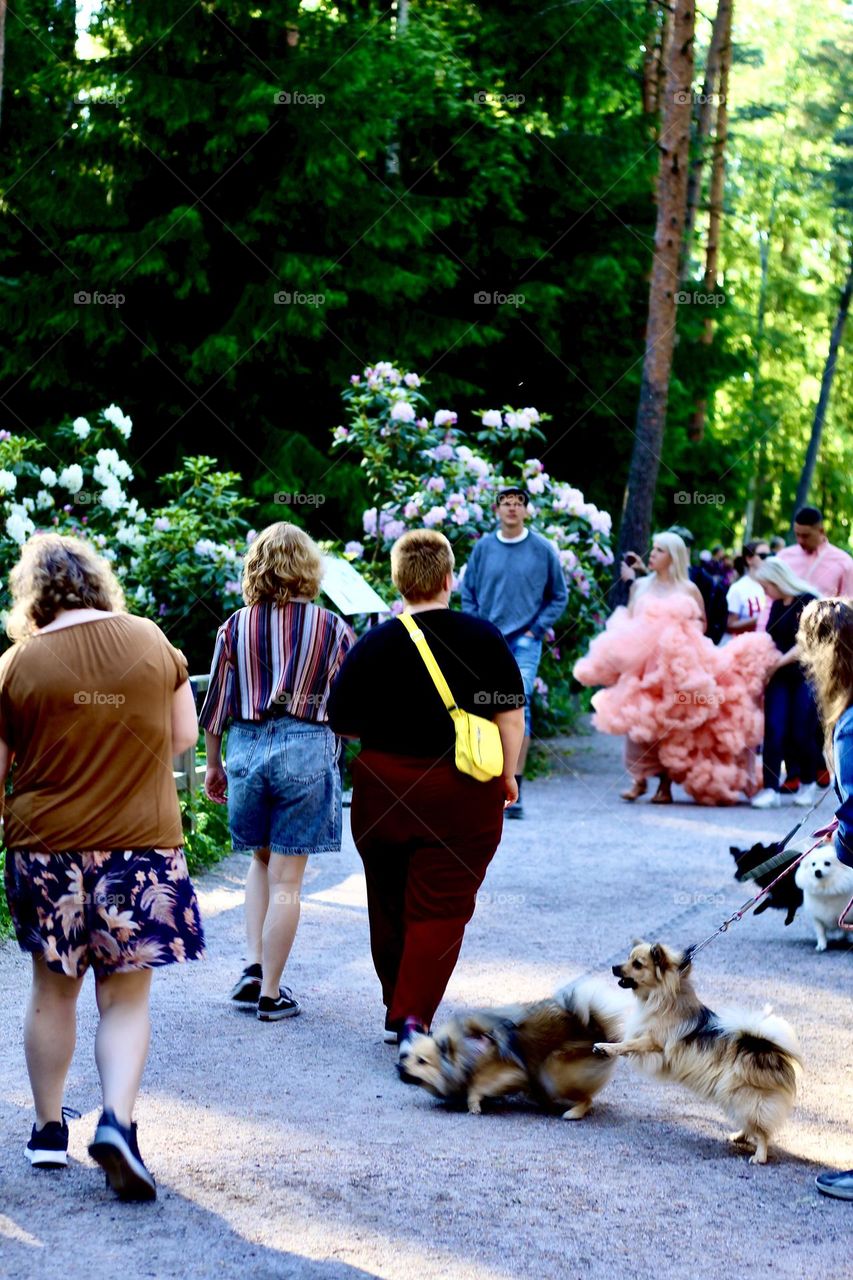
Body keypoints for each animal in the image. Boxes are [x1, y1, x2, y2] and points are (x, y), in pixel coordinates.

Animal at [394, 977, 622, 1121]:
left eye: (421, 1061)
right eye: (406, 1056)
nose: (399, 1067)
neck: (464, 1054)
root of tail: (595, 1029)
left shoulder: (507, 1072)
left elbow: (477, 1086)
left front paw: (474, 1105)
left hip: (554, 1072)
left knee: (587, 1098)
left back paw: (572, 1113)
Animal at [591, 936, 799, 1167]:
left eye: (637, 964)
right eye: (628, 958)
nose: (613, 967)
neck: (662, 997)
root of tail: (765, 1049)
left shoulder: (653, 1044)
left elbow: (627, 1044)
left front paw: (605, 1048)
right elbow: (627, 1043)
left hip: (746, 1097)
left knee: (761, 1129)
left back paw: (759, 1155)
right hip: (733, 1097)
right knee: (751, 1123)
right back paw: (740, 1136)